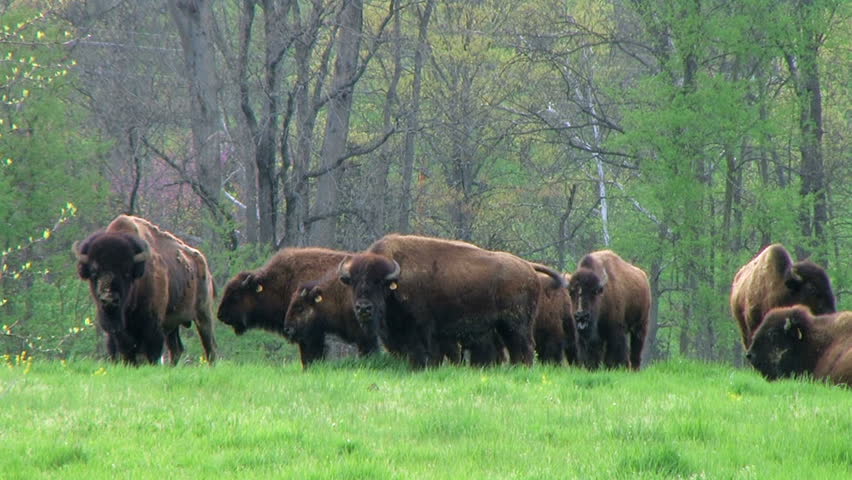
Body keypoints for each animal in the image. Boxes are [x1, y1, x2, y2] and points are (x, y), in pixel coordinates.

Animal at [73, 215, 217, 365]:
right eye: (94, 272)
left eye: (126, 273)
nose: (109, 299)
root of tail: (204, 265)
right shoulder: (117, 332)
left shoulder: (152, 325)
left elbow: (151, 352)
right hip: (174, 323)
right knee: (176, 349)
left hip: (203, 314)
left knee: (210, 346)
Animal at [337, 234, 564, 368]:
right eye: (353, 282)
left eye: (379, 283)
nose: (364, 308)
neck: (397, 280)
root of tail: (528, 267)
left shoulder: (423, 330)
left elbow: (425, 353)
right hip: (503, 327)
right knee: (516, 350)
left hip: (517, 325)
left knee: (525, 347)